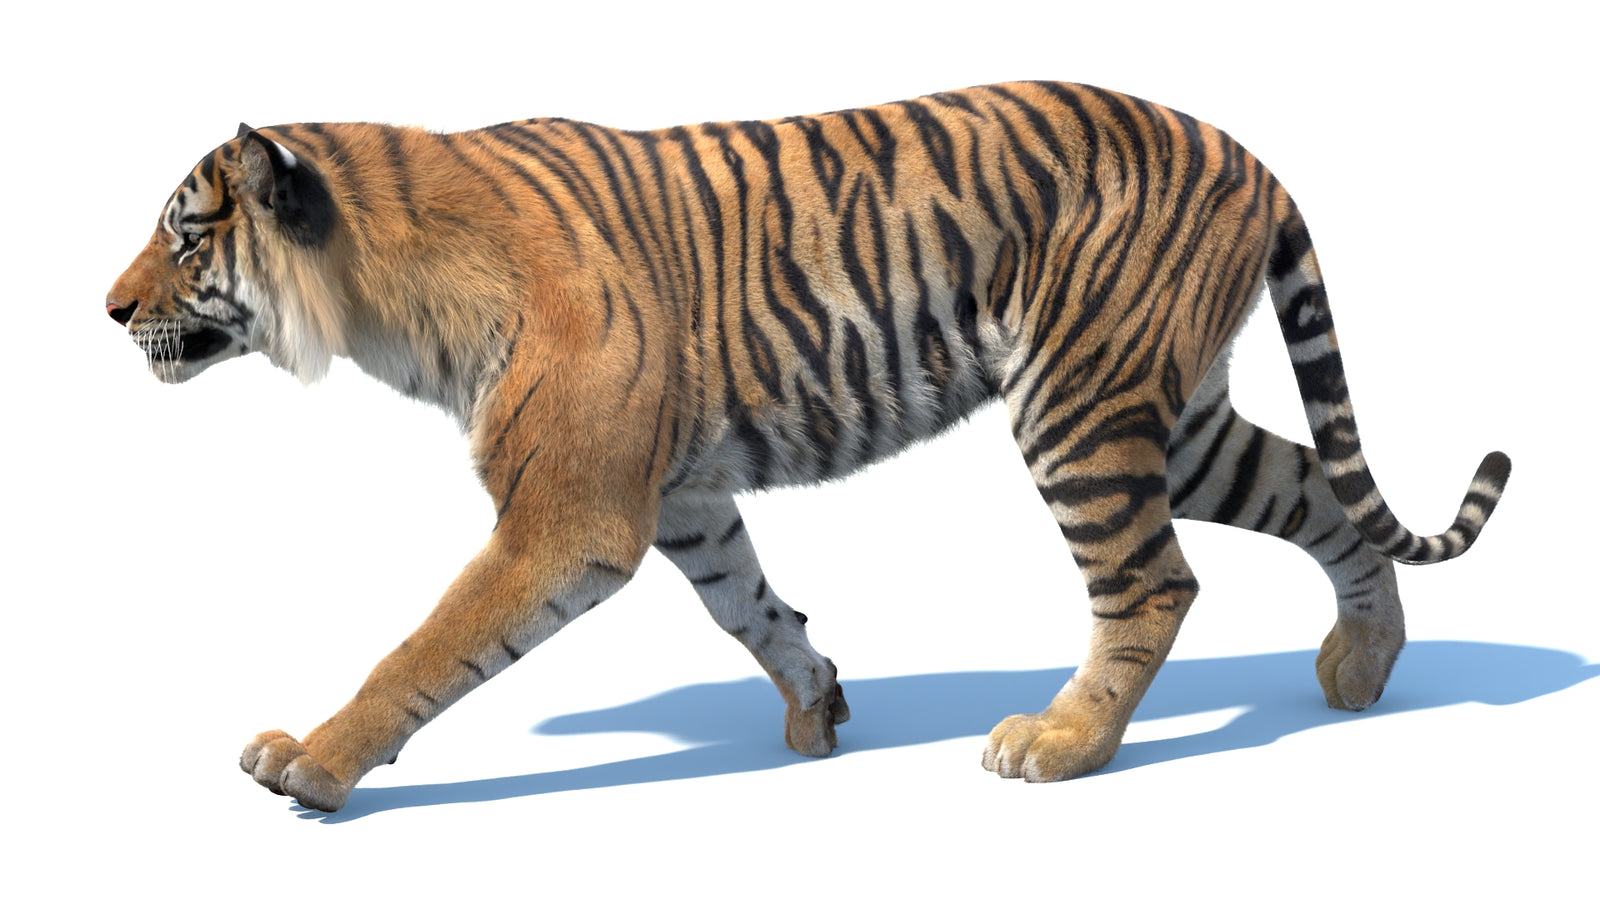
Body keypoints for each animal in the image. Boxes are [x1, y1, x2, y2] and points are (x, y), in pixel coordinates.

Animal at [107, 81, 1510, 813]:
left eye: (184, 235)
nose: (108, 310)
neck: (381, 292)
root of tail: (1250, 153)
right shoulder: (679, 495)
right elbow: (748, 604)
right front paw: (818, 703)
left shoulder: (567, 513)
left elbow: (426, 645)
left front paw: (315, 763)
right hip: (1178, 416)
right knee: (1320, 497)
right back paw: (1360, 670)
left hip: (1081, 405)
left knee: (1153, 581)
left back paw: (1060, 745)